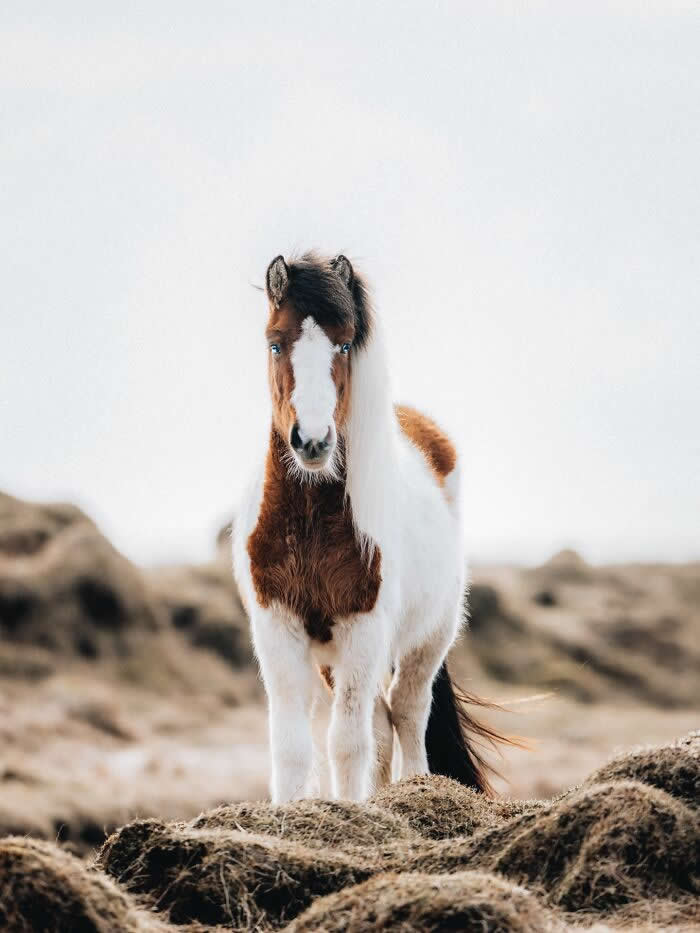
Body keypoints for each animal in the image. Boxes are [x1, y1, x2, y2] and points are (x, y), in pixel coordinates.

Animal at [233, 251, 498, 803]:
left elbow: (348, 743)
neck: (309, 524)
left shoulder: (363, 629)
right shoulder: (278, 628)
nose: (312, 441)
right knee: (380, 719)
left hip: (428, 639)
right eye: (275, 342)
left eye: (344, 343)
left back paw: (414, 791)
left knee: (407, 712)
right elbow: (292, 747)